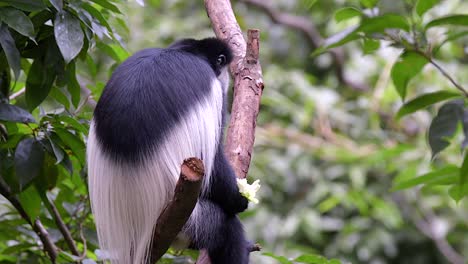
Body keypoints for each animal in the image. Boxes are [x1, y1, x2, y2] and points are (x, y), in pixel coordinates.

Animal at [86, 37, 250, 264]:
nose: (228, 81)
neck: (188, 52)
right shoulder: (213, 88)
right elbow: (214, 165)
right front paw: (240, 198)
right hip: (188, 221)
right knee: (226, 229)